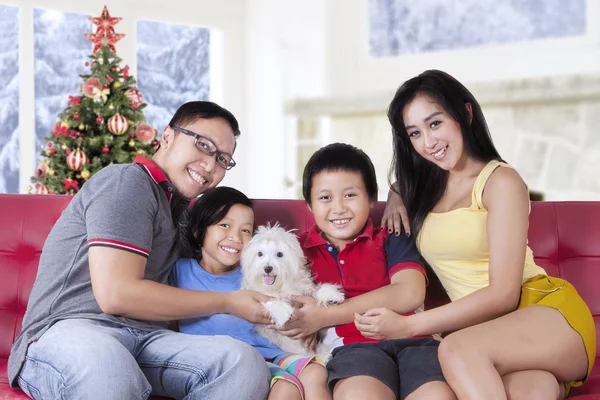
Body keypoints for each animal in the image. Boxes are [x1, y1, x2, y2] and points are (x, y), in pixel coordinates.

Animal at [238, 223, 342, 360]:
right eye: (260, 254)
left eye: (279, 254)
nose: (267, 268)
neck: (279, 286)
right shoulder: (256, 297)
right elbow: (271, 301)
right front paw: (283, 313)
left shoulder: (303, 290)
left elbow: (315, 291)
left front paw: (332, 295)